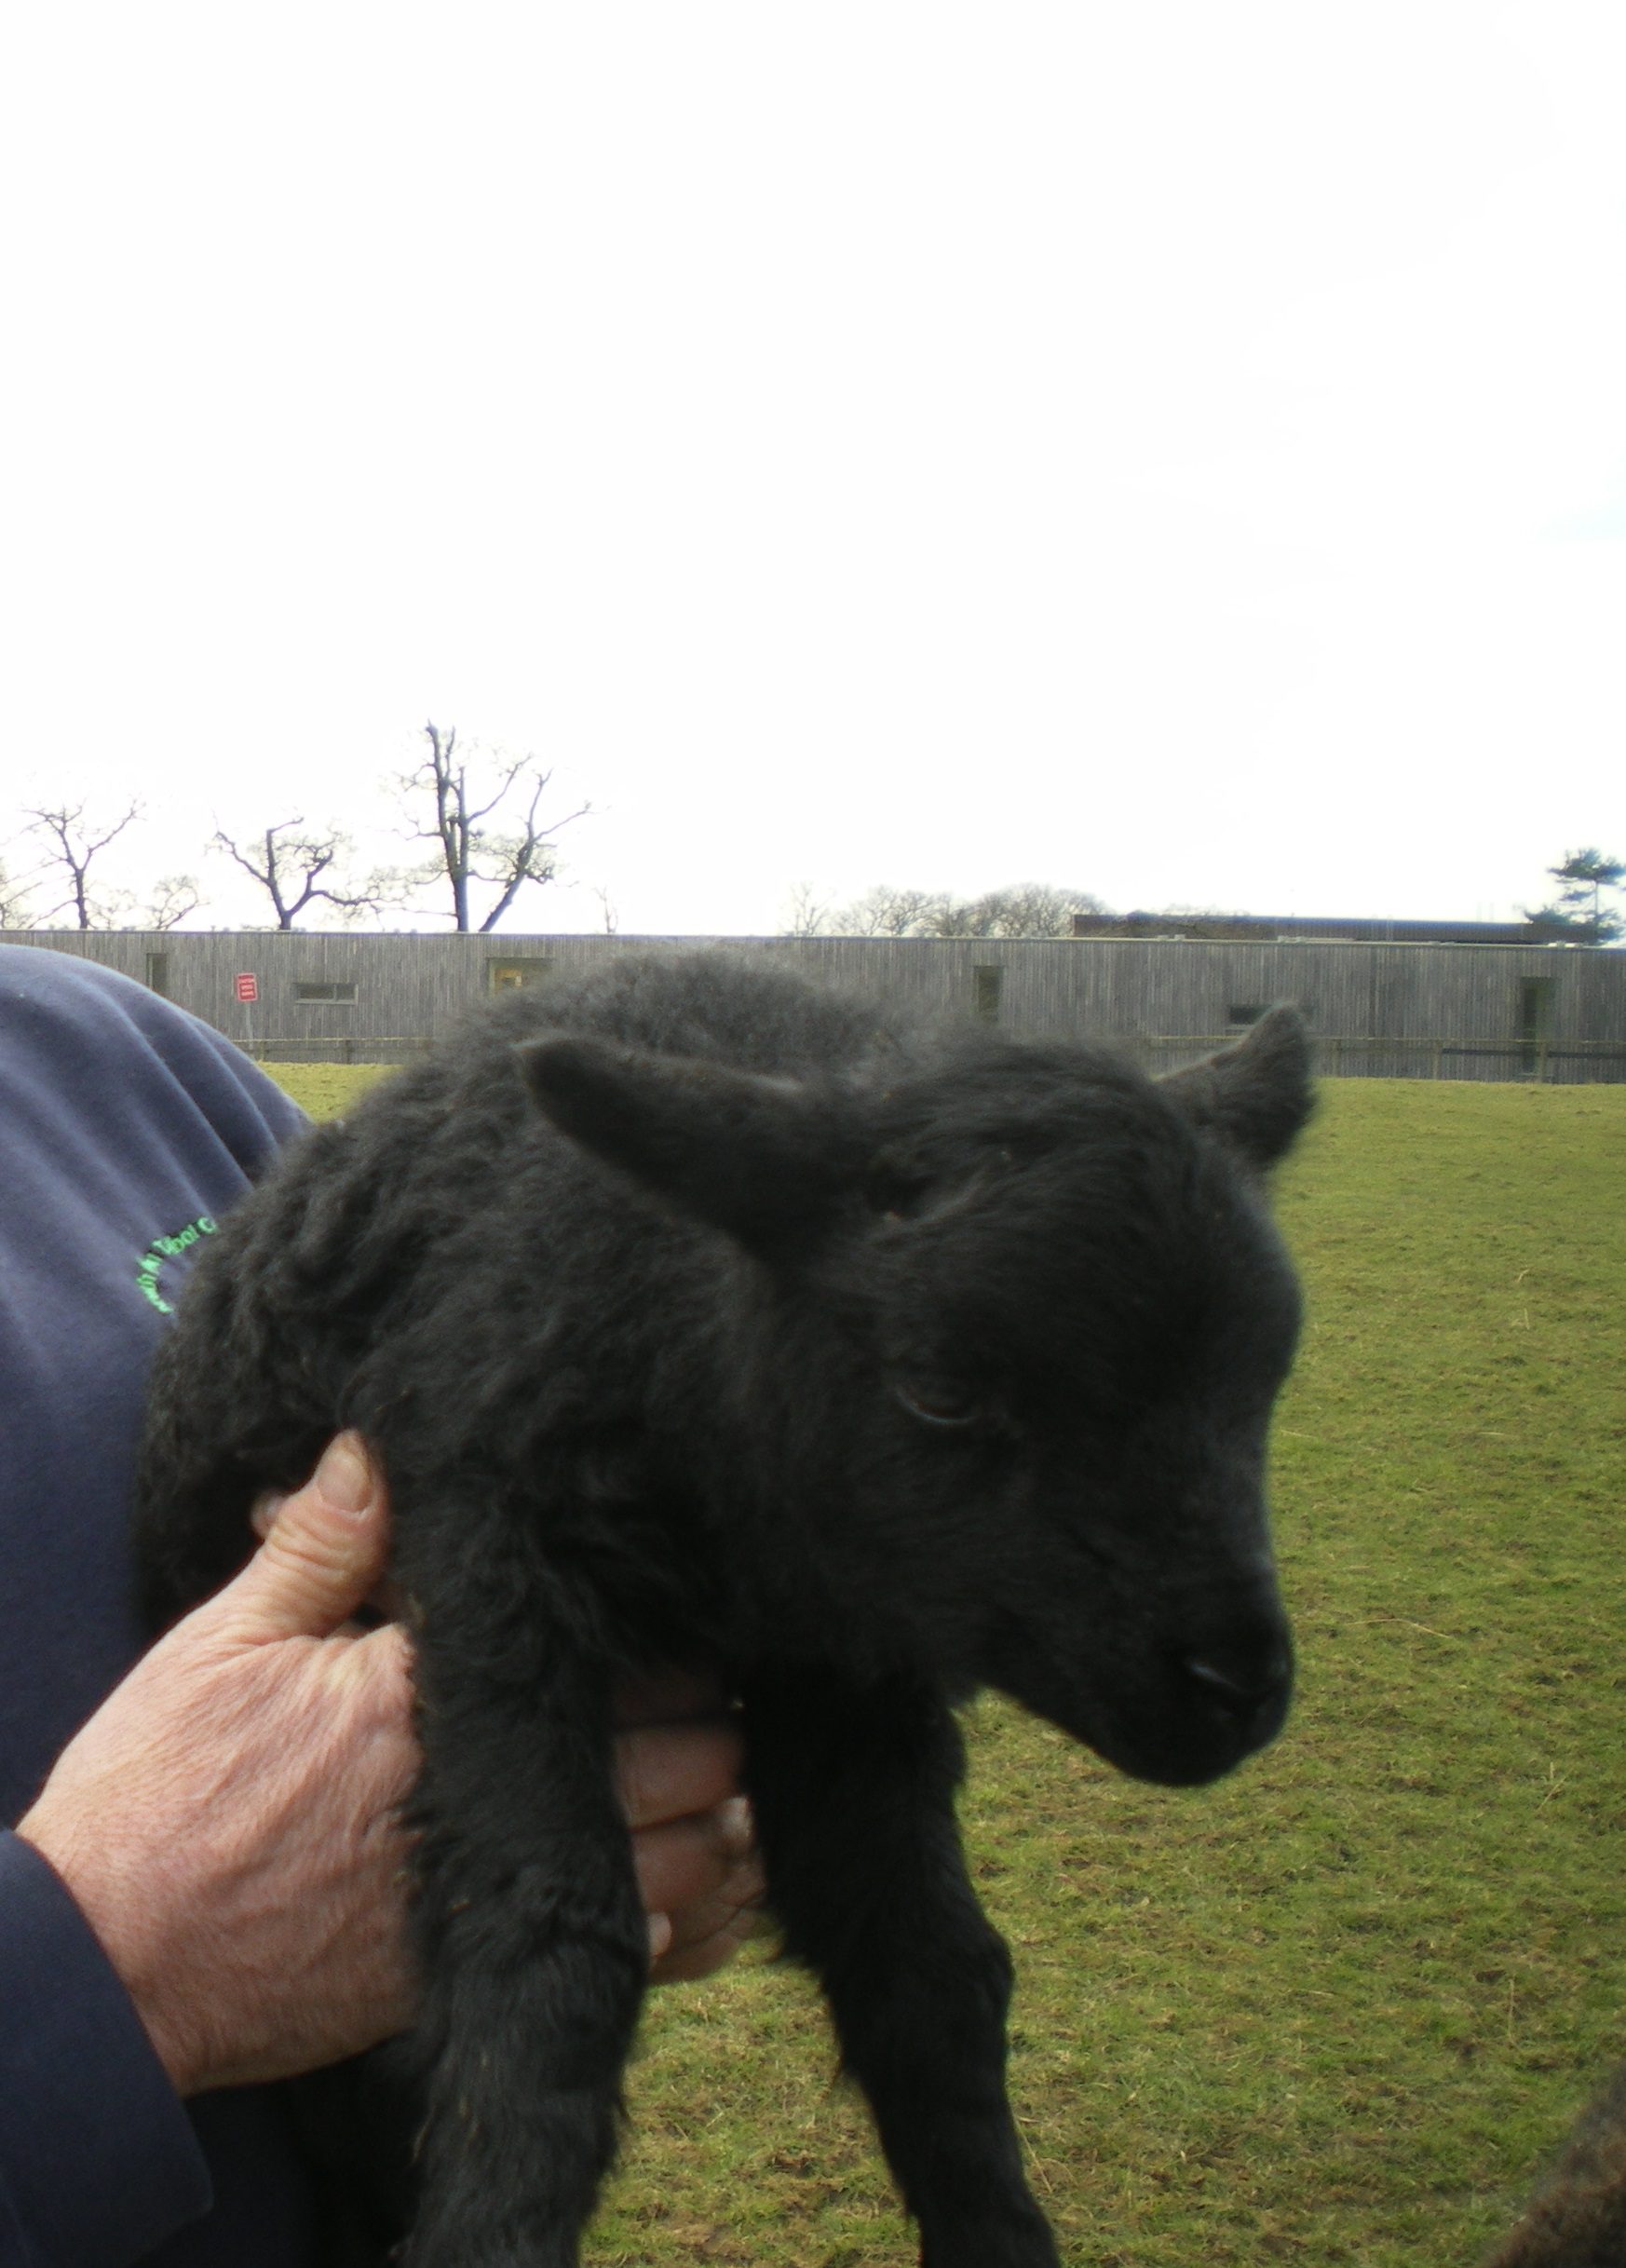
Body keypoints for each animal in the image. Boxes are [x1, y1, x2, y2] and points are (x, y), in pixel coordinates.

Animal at [135, 951, 1314, 2268]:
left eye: (1262, 1379)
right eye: (940, 1390)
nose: (1234, 1688)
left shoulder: (847, 1658)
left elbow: (928, 1960)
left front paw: (996, 2228)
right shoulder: (485, 1546)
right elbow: (551, 1936)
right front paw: (498, 2226)